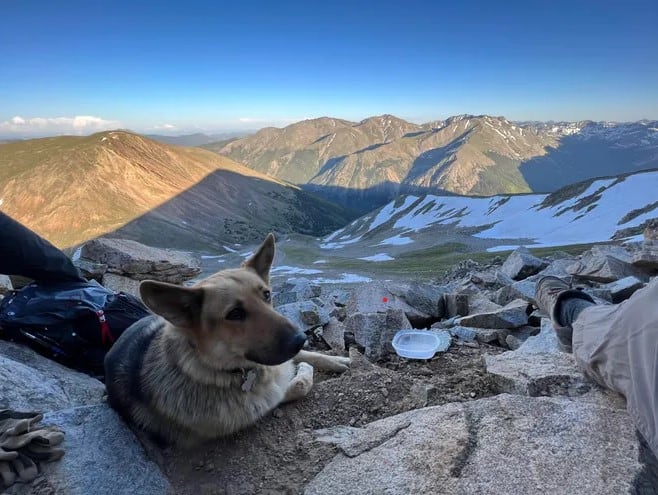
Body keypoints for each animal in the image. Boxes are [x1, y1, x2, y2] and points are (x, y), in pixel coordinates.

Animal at [104, 234, 348, 448]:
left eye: (267, 295)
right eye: (235, 314)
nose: (299, 339)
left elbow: (304, 361)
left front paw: (334, 360)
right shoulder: (265, 403)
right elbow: (300, 383)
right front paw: (304, 370)